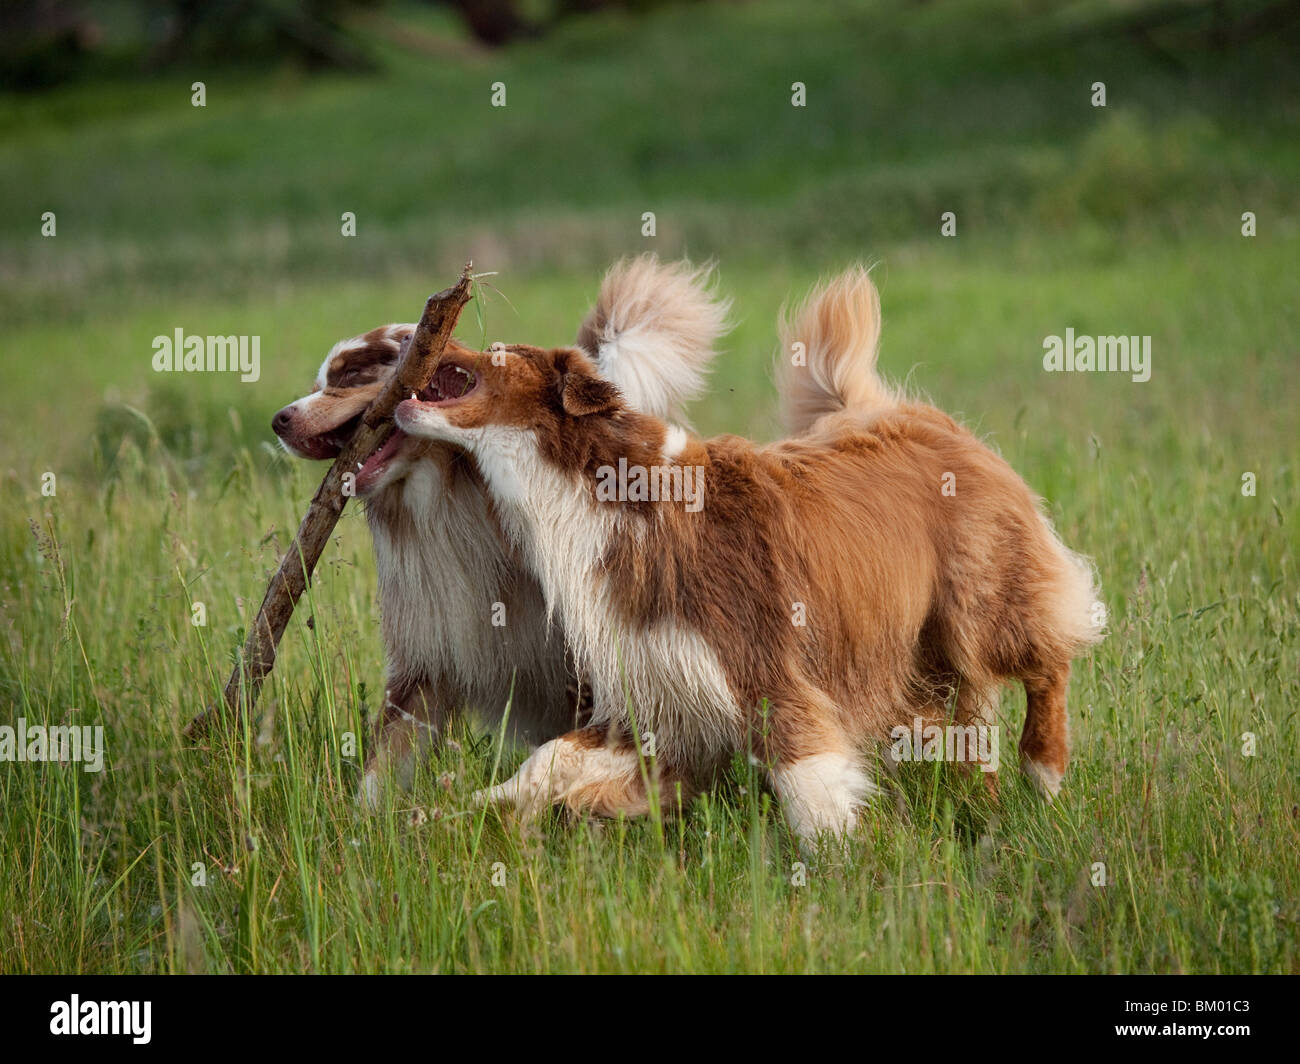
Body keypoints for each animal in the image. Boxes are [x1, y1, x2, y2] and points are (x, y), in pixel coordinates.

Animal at [270, 257, 733, 806]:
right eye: (319, 380)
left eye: (350, 375)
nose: (279, 420)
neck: (447, 504)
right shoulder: (428, 662)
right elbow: (381, 770)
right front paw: (364, 822)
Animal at [390, 262, 1102, 837]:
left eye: (498, 350)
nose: (404, 334)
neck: (597, 492)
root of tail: (912, 412)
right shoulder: (657, 700)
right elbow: (551, 758)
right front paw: (476, 811)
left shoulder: (767, 672)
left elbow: (810, 789)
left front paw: (840, 871)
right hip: (924, 651)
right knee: (973, 718)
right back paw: (983, 805)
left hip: (980, 602)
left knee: (1048, 658)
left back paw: (1043, 774)